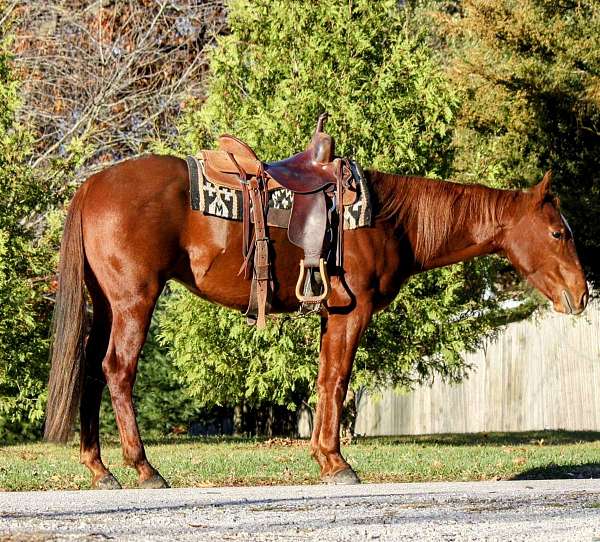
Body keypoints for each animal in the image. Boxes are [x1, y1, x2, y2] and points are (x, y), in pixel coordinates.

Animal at [44, 156, 588, 488]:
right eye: (558, 233)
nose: (582, 294)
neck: (390, 219)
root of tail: (92, 184)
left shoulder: (332, 314)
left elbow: (326, 379)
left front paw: (324, 459)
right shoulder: (352, 311)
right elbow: (338, 380)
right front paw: (337, 461)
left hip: (106, 303)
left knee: (90, 373)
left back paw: (99, 469)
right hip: (133, 299)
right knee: (117, 371)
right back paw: (143, 468)